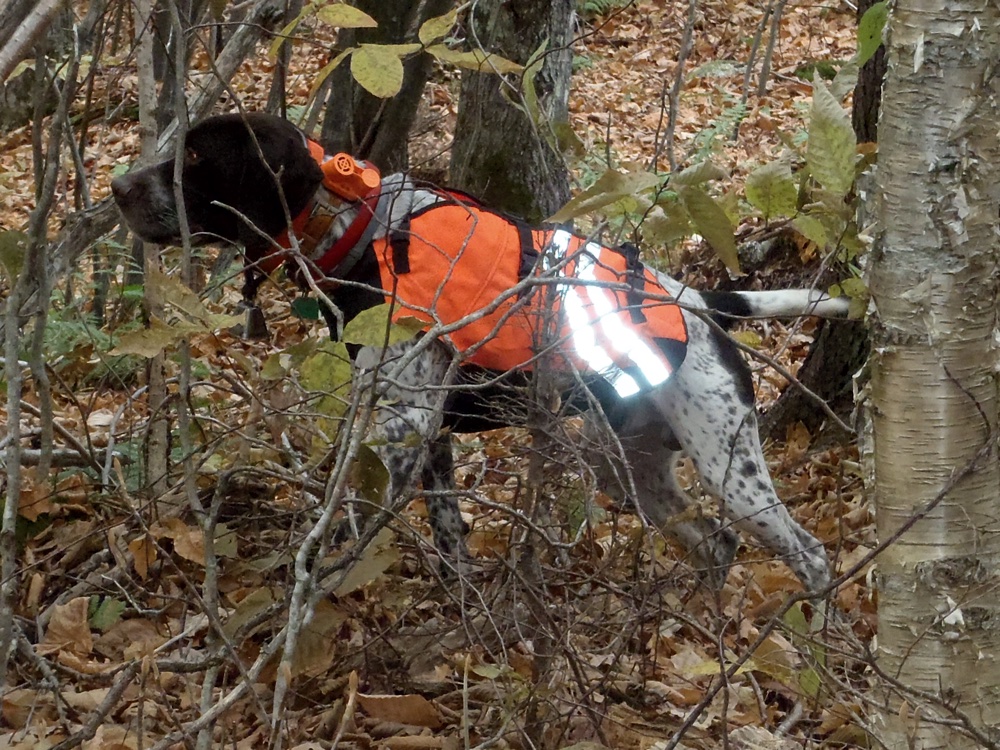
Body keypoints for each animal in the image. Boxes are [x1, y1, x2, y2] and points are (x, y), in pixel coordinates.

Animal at [113, 113, 848, 592]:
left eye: (196, 159)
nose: (118, 189)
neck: (359, 227)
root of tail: (702, 303)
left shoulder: (402, 430)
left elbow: (352, 525)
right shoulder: (427, 435)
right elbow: (448, 532)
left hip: (730, 468)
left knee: (811, 557)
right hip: (631, 469)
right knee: (718, 546)